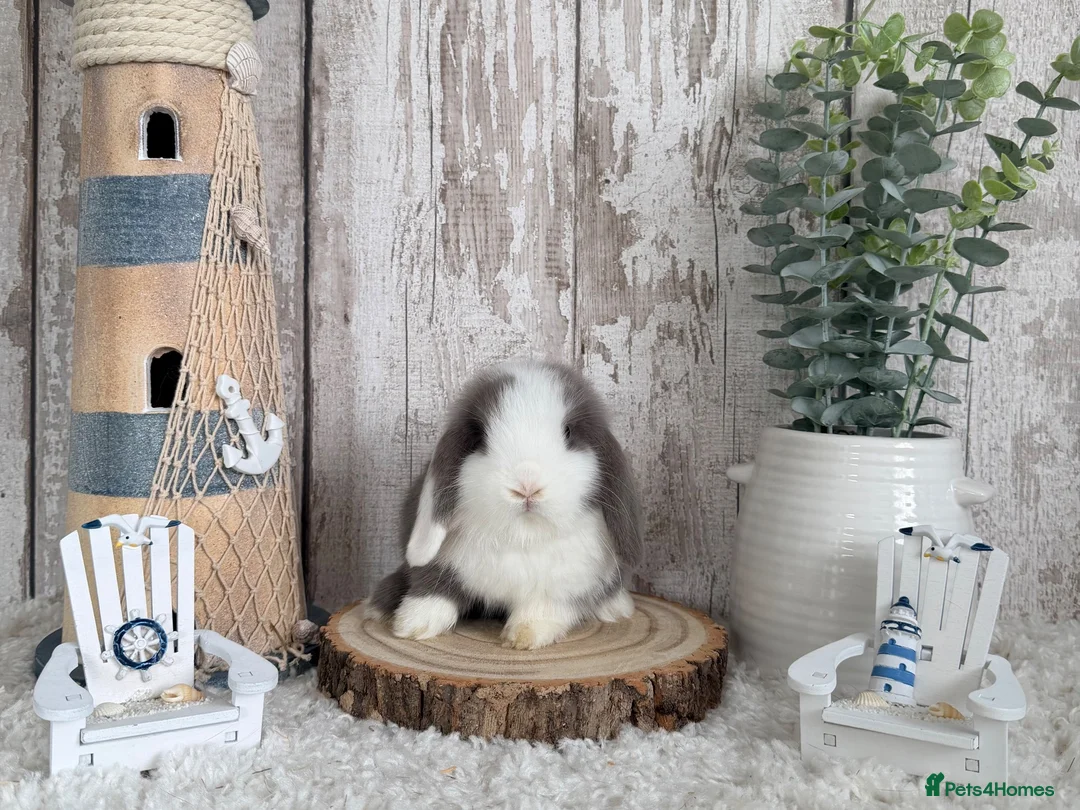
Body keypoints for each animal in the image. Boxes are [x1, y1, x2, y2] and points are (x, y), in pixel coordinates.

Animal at [367, 359, 643, 650]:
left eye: (568, 432)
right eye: (481, 438)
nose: (526, 486)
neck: (522, 534)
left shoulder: (565, 586)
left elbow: (544, 608)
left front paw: (524, 635)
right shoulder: (440, 563)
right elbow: (433, 588)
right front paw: (412, 624)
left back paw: (616, 608)